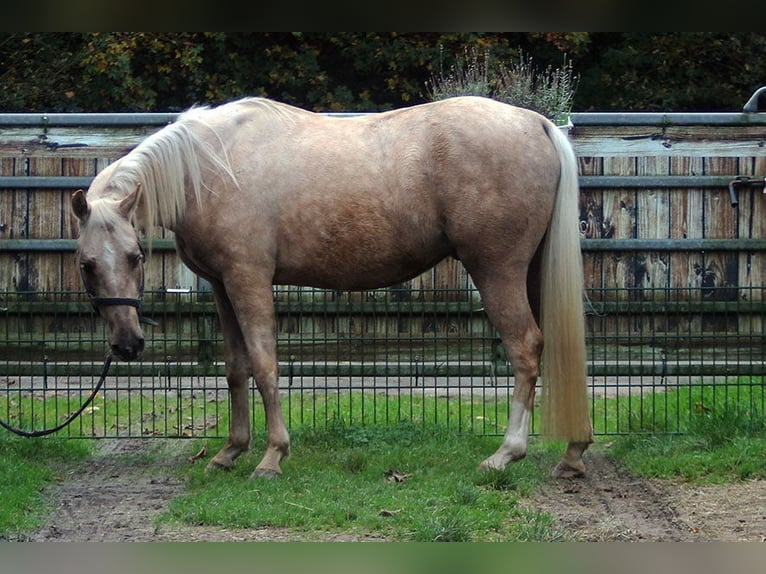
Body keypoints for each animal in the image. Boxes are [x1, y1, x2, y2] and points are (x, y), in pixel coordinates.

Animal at [72, 97, 592, 480]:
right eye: (87, 266)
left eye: (135, 258)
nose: (127, 344)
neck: (212, 165)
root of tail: (535, 122)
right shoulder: (221, 285)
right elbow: (236, 368)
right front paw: (230, 451)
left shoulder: (248, 278)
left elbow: (264, 365)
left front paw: (272, 456)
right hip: (530, 272)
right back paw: (572, 452)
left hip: (497, 271)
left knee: (525, 348)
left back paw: (506, 454)